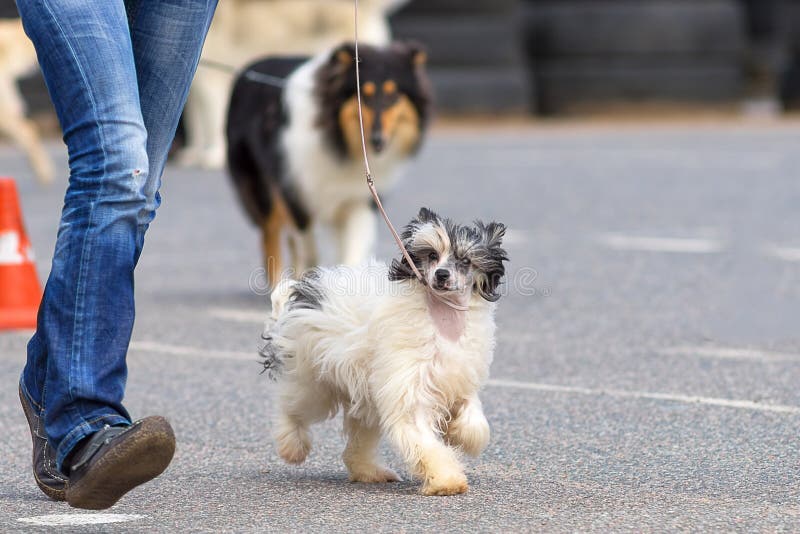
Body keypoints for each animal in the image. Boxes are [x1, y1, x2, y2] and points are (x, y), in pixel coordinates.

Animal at [180, 0, 406, 170]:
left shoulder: (210, 82)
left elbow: (210, 121)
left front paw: (213, 155)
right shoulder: (194, 84)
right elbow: (195, 122)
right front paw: (194, 153)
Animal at [225, 40, 434, 288]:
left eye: (394, 96)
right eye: (364, 95)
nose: (377, 140)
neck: (341, 145)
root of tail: (248, 67)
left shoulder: (359, 199)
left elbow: (354, 246)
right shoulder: (294, 191)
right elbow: (308, 248)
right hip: (262, 188)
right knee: (271, 235)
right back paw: (278, 285)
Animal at [262, 209, 512, 498]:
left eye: (465, 260)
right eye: (432, 255)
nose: (441, 274)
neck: (441, 321)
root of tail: (299, 300)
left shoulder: (457, 378)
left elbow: (475, 420)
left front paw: (459, 434)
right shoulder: (408, 391)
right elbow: (424, 442)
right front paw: (446, 479)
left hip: (363, 393)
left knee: (357, 442)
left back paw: (370, 472)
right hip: (313, 381)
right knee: (292, 408)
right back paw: (292, 446)